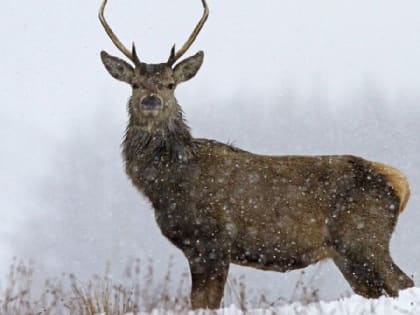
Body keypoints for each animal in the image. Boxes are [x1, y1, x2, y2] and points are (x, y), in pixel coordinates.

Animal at [98, 0, 414, 312]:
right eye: (135, 83)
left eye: (170, 84)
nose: (151, 101)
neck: (167, 185)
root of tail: (400, 183)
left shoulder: (212, 242)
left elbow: (204, 304)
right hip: (348, 255)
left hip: (365, 240)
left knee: (403, 282)